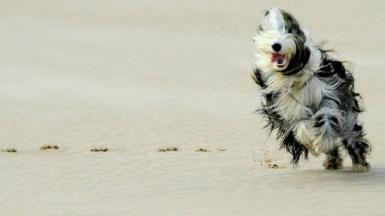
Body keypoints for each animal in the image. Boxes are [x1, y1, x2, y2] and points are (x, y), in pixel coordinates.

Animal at [252, 8, 368, 170]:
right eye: (270, 34)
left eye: (288, 31)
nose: (276, 45)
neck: (292, 73)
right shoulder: (287, 108)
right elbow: (301, 125)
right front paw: (312, 142)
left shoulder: (328, 93)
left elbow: (326, 115)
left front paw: (323, 140)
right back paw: (332, 160)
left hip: (348, 114)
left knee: (351, 134)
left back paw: (359, 162)